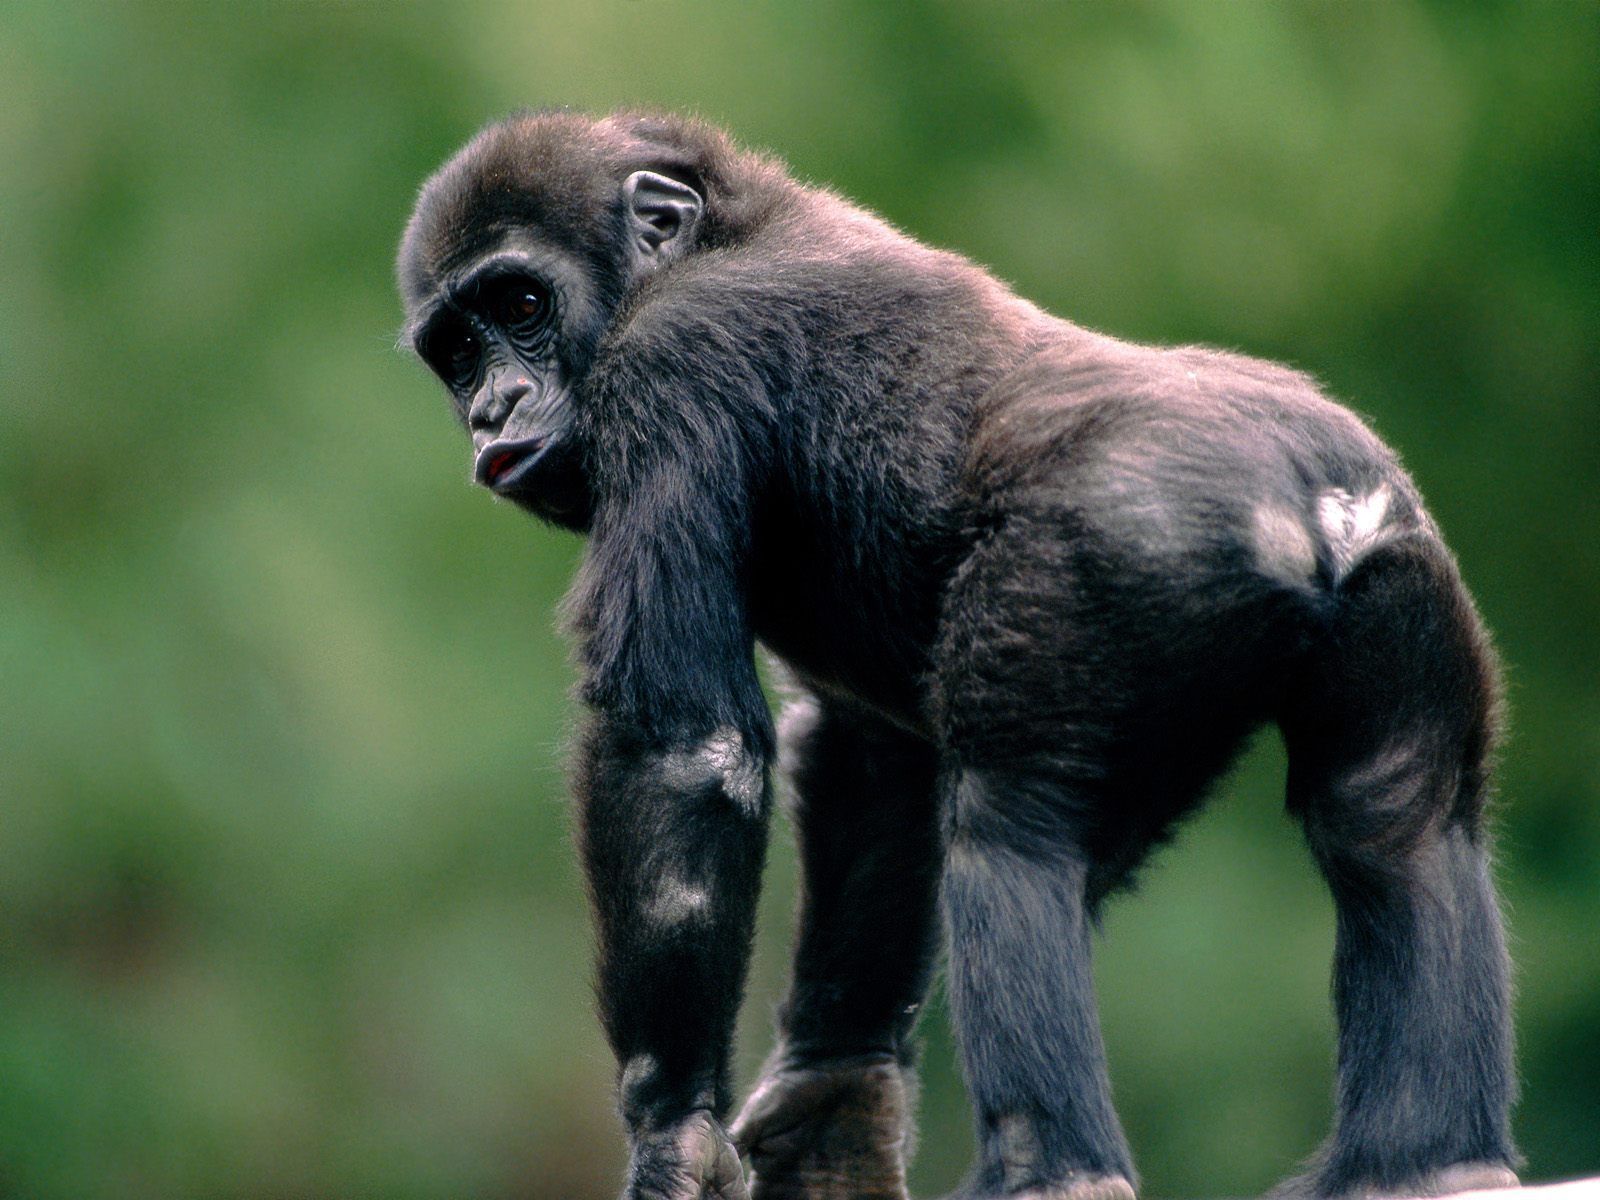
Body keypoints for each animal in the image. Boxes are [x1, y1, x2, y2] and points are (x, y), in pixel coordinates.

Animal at [396, 112, 1510, 1200]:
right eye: (456, 350)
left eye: (521, 304)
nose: (492, 409)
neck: (719, 232)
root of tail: (1314, 498)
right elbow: (875, 757)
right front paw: (831, 1098)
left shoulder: (669, 360)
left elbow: (680, 748)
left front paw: (675, 1127)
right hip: (1400, 571)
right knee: (1393, 824)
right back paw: (1426, 1163)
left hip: (1109, 551)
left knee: (1009, 829)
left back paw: (1052, 1172)